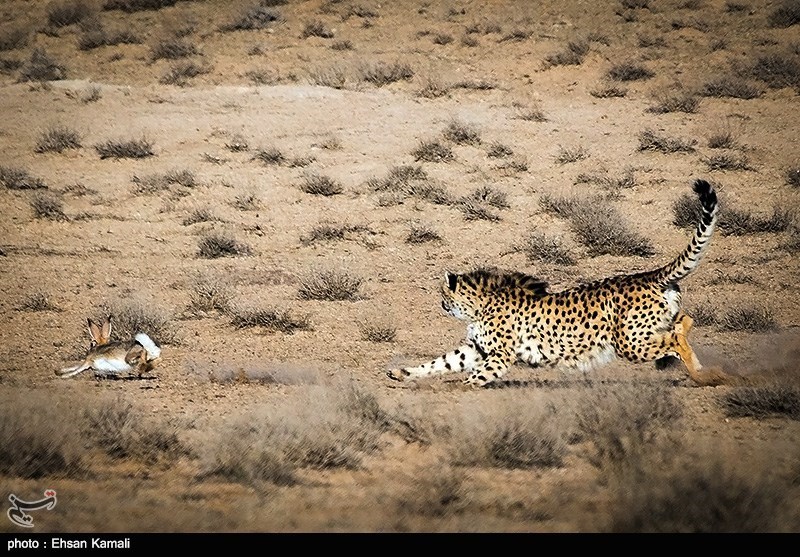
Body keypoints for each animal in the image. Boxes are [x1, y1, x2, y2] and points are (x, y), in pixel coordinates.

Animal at [390, 178, 732, 386]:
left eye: (443, 293)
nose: (440, 303)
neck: (482, 302)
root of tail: (647, 274)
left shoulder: (499, 354)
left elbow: (477, 375)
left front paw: (462, 386)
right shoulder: (475, 349)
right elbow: (439, 362)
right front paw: (402, 371)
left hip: (629, 342)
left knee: (675, 338)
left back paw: (701, 374)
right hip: (648, 329)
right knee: (684, 322)